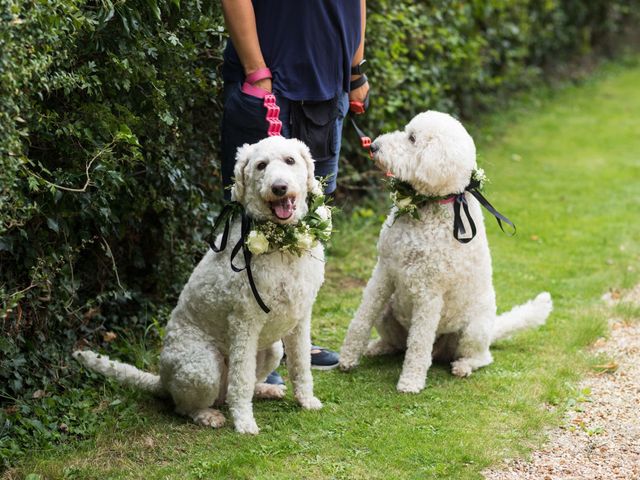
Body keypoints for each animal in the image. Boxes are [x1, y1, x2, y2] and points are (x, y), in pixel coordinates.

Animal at [75, 136, 324, 436]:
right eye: (261, 165)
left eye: (290, 160)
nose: (279, 187)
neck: (281, 245)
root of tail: (163, 380)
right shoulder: (244, 321)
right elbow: (241, 379)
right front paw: (244, 422)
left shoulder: (301, 317)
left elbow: (301, 365)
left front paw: (306, 400)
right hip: (203, 365)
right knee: (191, 404)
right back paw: (208, 415)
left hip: (271, 349)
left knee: (237, 387)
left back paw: (265, 389)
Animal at [338, 110, 552, 392]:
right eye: (407, 131)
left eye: (412, 139)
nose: (373, 146)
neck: (429, 205)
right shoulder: (383, 271)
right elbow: (361, 317)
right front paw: (347, 358)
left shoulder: (429, 291)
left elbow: (418, 343)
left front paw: (410, 382)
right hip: (389, 310)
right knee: (399, 344)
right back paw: (380, 346)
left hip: (473, 330)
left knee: (480, 357)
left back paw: (463, 366)